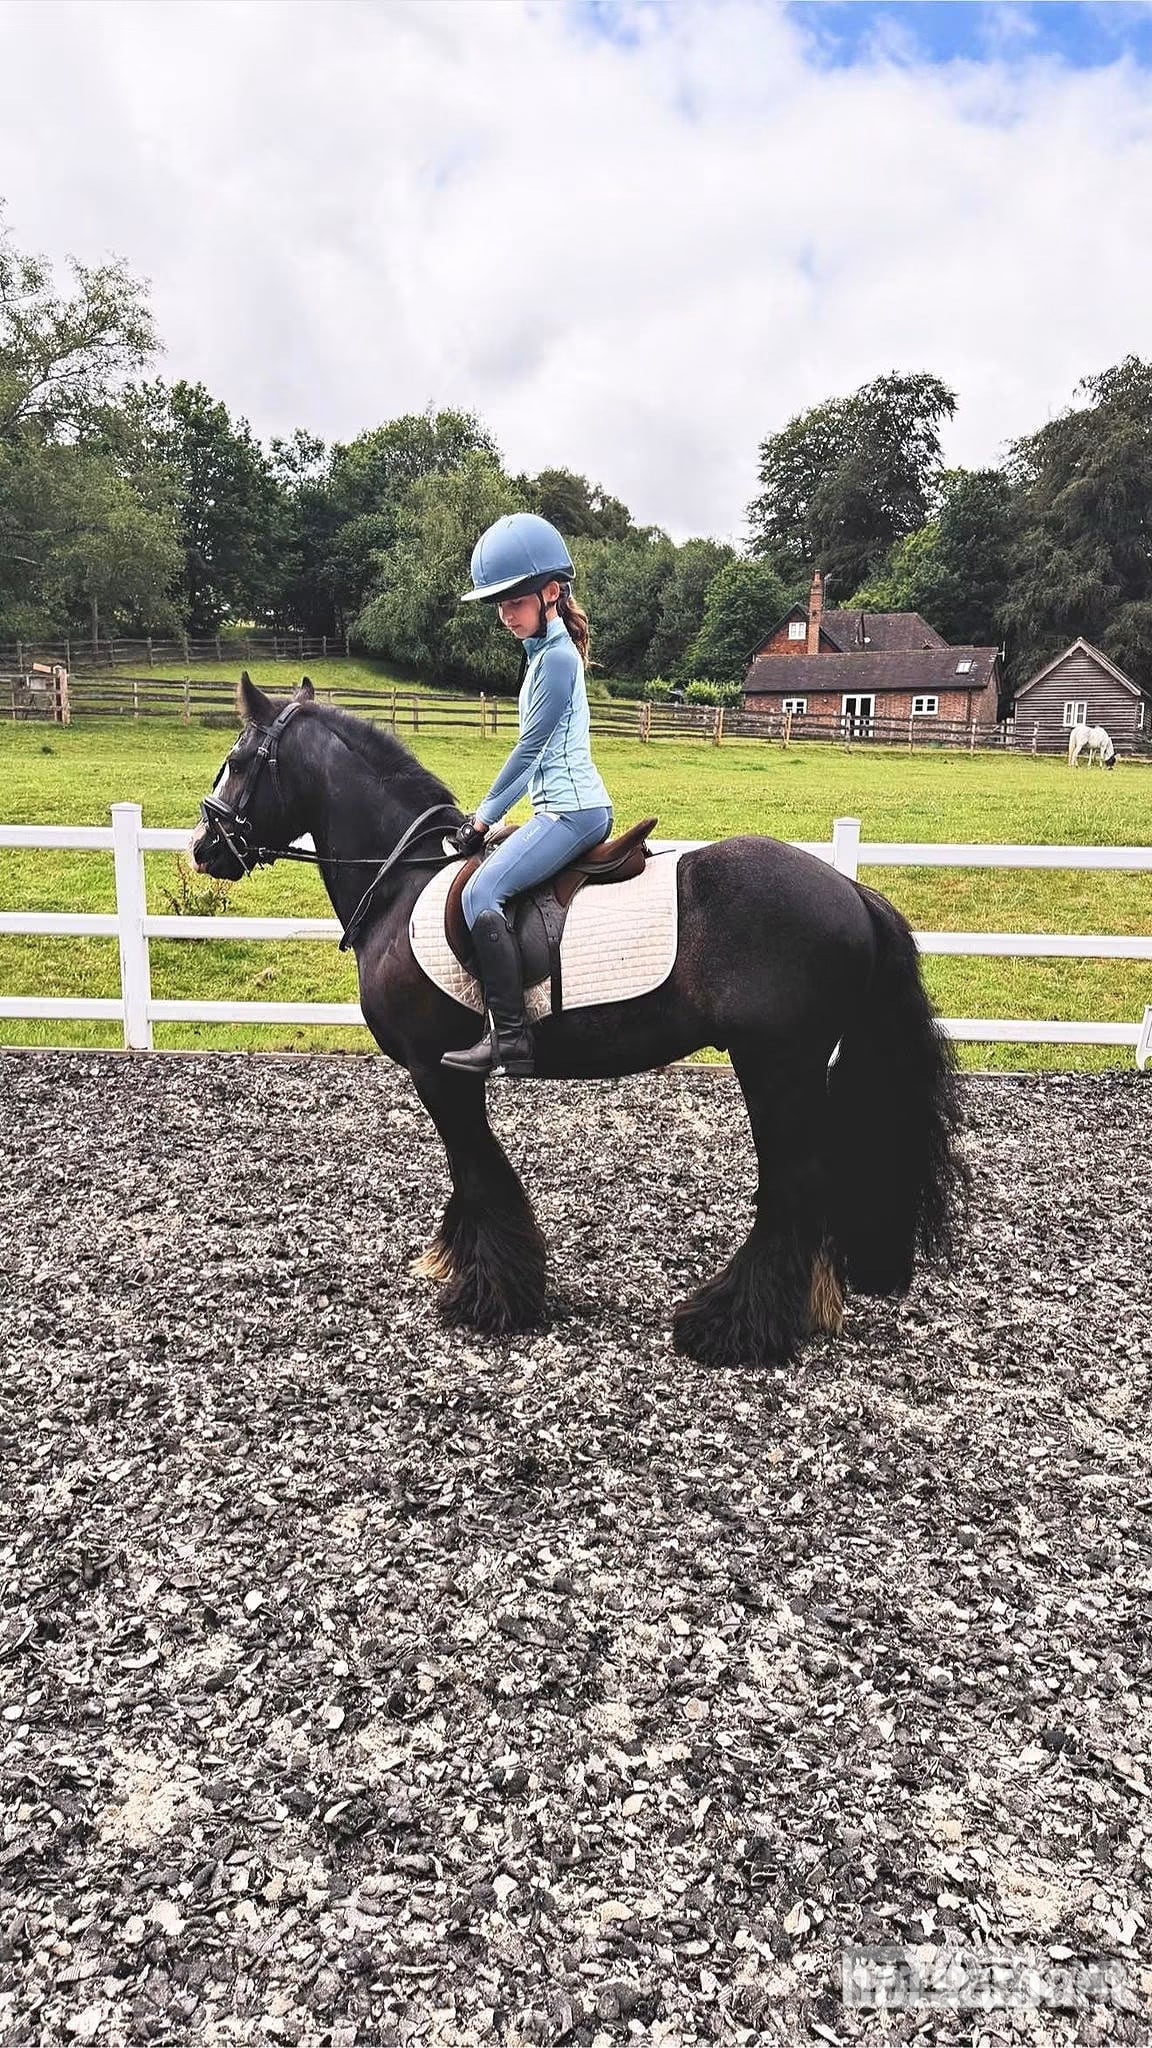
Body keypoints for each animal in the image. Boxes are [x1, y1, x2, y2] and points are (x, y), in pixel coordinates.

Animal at [190, 675, 968, 1373]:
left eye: (240, 759)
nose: (203, 846)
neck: (400, 883)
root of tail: (851, 890)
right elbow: (470, 1174)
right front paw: (461, 1266)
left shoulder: (436, 1069)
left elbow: (479, 1170)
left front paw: (493, 1297)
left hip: (777, 1065)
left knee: (794, 1186)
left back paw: (731, 1326)